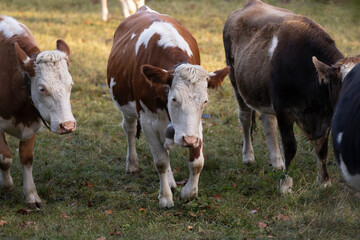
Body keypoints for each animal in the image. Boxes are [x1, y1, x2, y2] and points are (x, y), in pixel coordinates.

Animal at [0, 16, 76, 208]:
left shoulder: (32, 124)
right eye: (42, 88)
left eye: (70, 84)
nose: (68, 125)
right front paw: (6, 183)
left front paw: (31, 195)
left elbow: (27, 158)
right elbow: (5, 157)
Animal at [108, 5, 229, 208]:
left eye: (204, 101)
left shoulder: (195, 125)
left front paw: (188, 192)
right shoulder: (148, 120)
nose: (189, 140)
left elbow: (197, 161)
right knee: (130, 129)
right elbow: (161, 161)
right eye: (174, 99)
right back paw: (132, 165)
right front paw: (165, 197)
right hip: (127, 107)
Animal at [222, 0, 360, 192]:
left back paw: (276, 162)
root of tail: (250, 4)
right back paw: (248, 157)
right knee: (245, 118)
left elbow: (322, 148)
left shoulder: (326, 115)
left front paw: (324, 181)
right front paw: (285, 184)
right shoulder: (283, 109)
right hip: (235, 79)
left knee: (268, 123)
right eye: (345, 85)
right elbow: (290, 146)